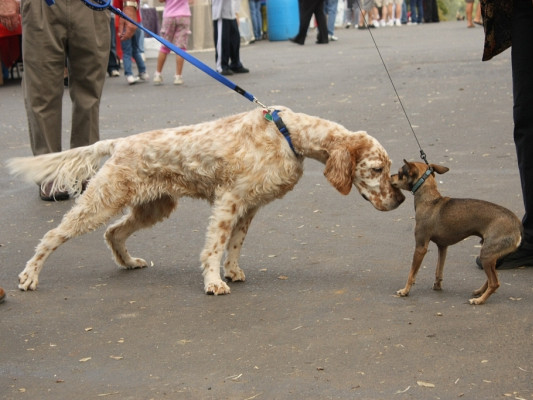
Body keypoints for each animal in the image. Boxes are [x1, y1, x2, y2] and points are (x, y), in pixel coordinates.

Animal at [8, 106, 404, 294]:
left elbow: (236, 244)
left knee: (114, 233)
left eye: (388, 168)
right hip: (102, 200)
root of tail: (119, 142)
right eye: (376, 169)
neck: (288, 135)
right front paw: (214, 281)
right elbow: (215, 246)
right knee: (52, 236)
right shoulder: (229, 200)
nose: (399, 199)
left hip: (155, 205)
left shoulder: (249, 205)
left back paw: (129, 262)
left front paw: (233, 271)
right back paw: (29, 276)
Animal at [390, 159, 520, 304]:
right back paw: (480, 292)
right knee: (493, 278)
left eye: (400, 173)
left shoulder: (420, 247)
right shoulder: (443, 247)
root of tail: (517, 227)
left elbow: (412, 273)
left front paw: (405, 290)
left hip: (486, 255)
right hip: (491, 256)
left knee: (494, 283)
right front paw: (437, 285)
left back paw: (479, 300)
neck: (430, 201)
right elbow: (439, 269)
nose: (390, 176)